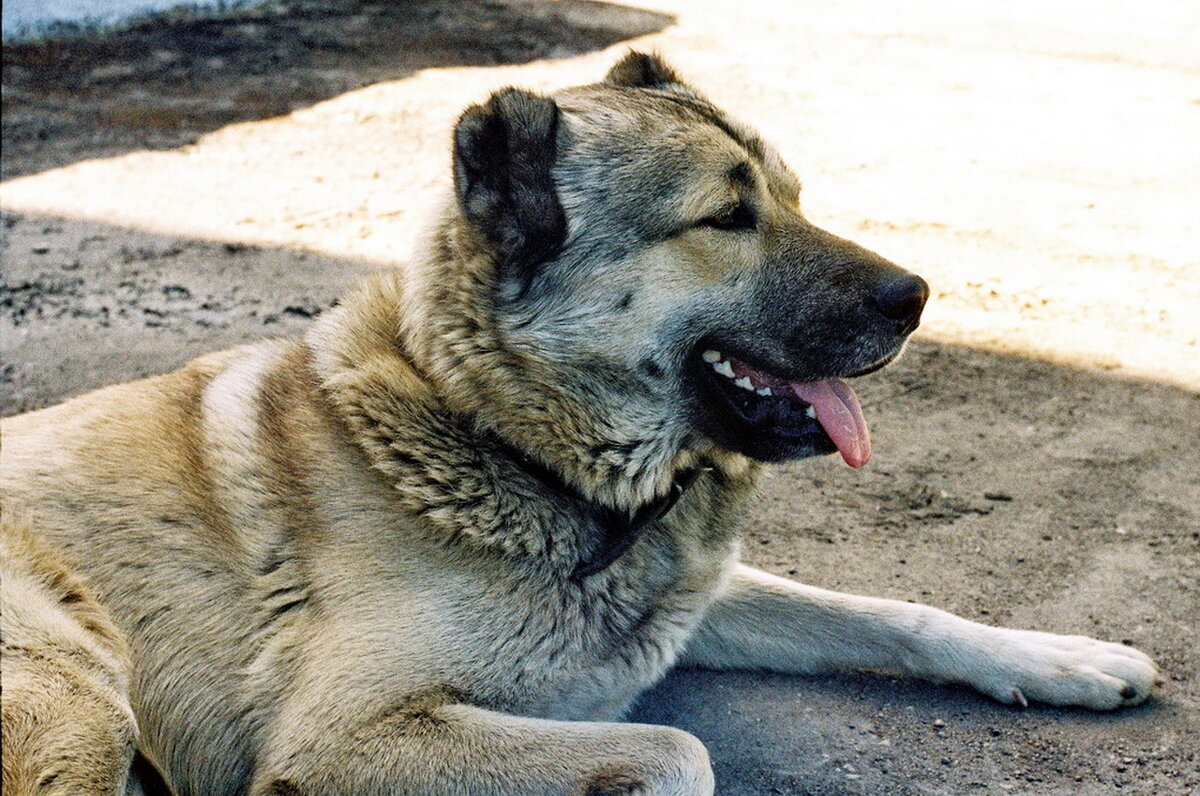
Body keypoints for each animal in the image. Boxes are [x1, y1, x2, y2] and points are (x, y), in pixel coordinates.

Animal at [2, 52, 1161, 792]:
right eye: (726, 217)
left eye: (794, 196)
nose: (917, 297)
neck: (503, 439)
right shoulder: (346, 737)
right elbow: (679, 753)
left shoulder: (693, 598)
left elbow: (895, 612)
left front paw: (1063, 659)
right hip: (82, 696)